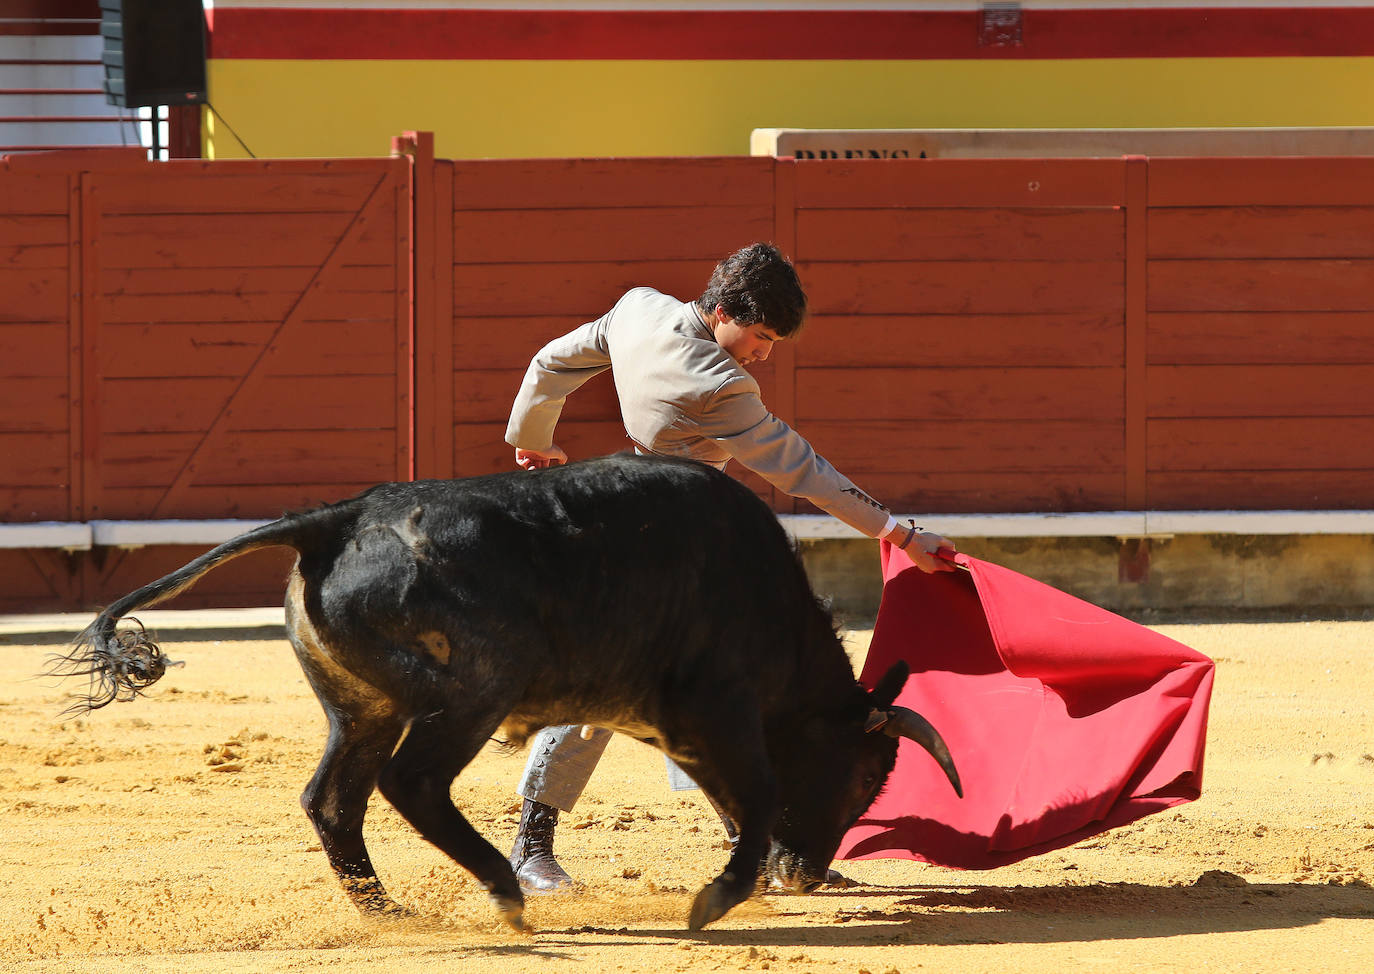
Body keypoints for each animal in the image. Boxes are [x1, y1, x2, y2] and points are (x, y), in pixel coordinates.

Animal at [50, 453, 956, 928]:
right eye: (865, 776)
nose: (804, 875)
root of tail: (337, 520)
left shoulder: (685, 728)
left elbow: (739, 798)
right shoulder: (722, 710)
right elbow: (760, 794)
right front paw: (714, 900)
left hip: (362, 709)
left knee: (333, 799)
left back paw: (391, 913)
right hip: (472, 693)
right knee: (411, 783)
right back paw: (503, 891)